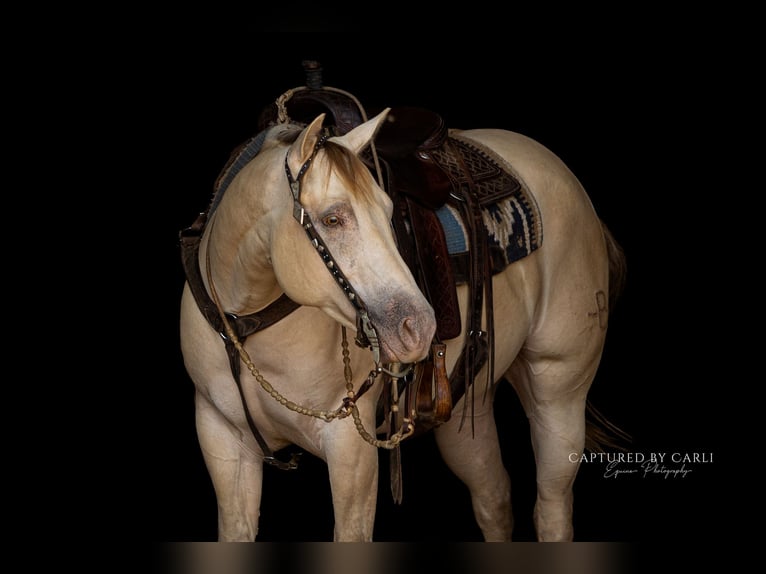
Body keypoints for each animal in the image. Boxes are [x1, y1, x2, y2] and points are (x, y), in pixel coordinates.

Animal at [178, 96, 627, 541]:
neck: (246, 324)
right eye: (332, 219)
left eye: (388, 211)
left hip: (559, 395)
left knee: (552, 508)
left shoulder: (351, 452)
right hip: (468, 410)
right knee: (494, 499)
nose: (419, 329)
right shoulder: (223, 442)